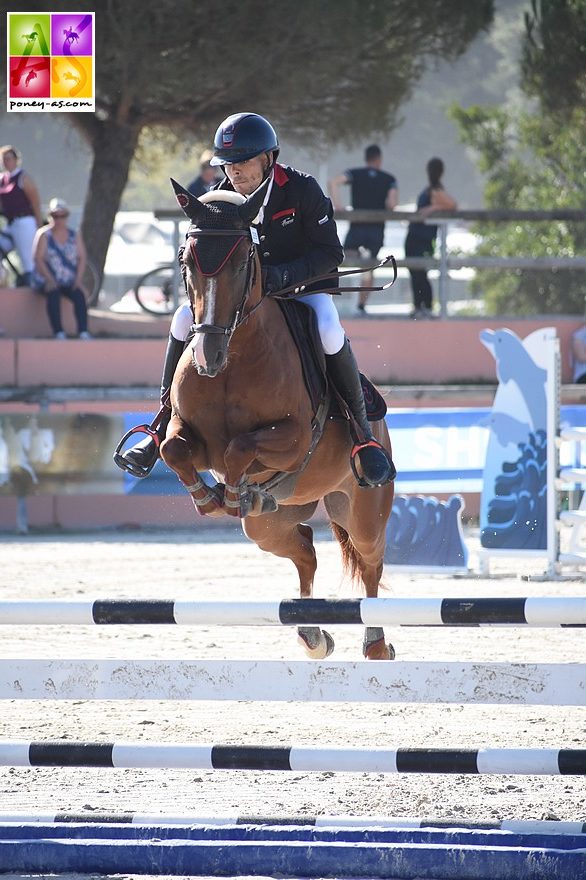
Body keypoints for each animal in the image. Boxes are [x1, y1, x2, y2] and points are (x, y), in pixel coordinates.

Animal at [161, 180, 392, 660]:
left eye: (243, 262)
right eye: (186, 260)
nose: (208, 357)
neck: (233, 360)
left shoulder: (294, 437)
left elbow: (239, 446)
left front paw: (229, 492)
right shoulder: (185, 433)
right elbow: (172, 448)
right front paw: (207, 497)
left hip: (362, 510)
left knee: (371, 564)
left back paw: (376, 643)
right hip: (269, 525)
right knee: (305, 549)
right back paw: (312, 636)